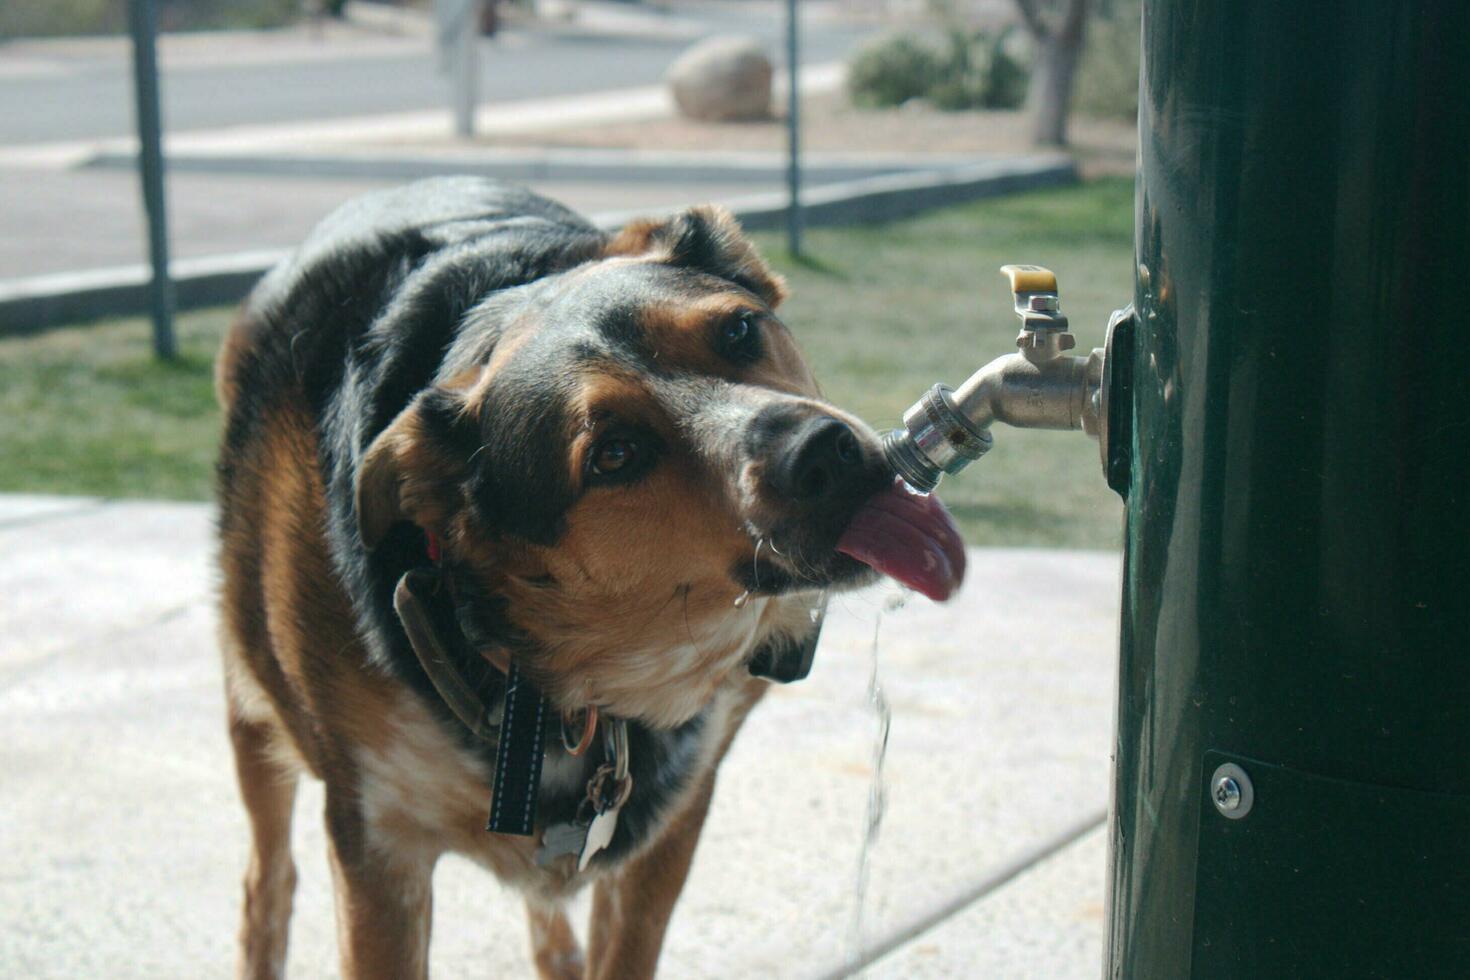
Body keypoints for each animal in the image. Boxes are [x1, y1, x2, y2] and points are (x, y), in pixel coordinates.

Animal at [210, 178, 964, 980]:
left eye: (738, 331)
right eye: (615, 454)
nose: (823, 451)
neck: (589, 686)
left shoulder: (672, 820)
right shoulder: (378, 845)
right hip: (250, 706)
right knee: (266, 880)